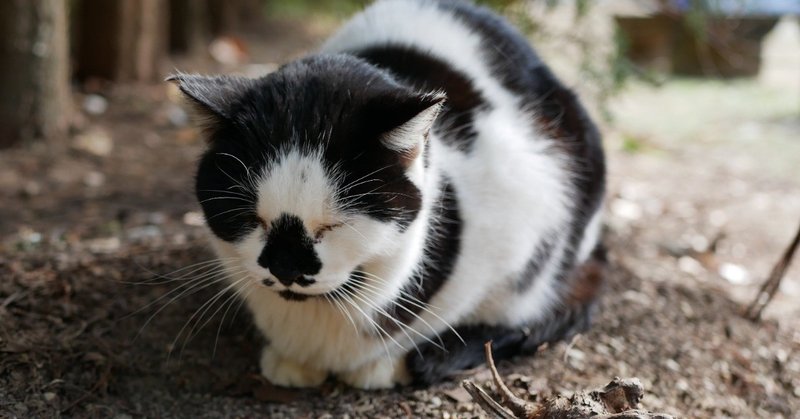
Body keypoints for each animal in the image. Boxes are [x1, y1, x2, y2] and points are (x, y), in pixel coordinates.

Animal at [170, 0, 608, 390]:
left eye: (333, 225)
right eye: (251, 219)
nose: (286, 269)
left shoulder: (528, 213)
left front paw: (389, 363)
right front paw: (291, 361)